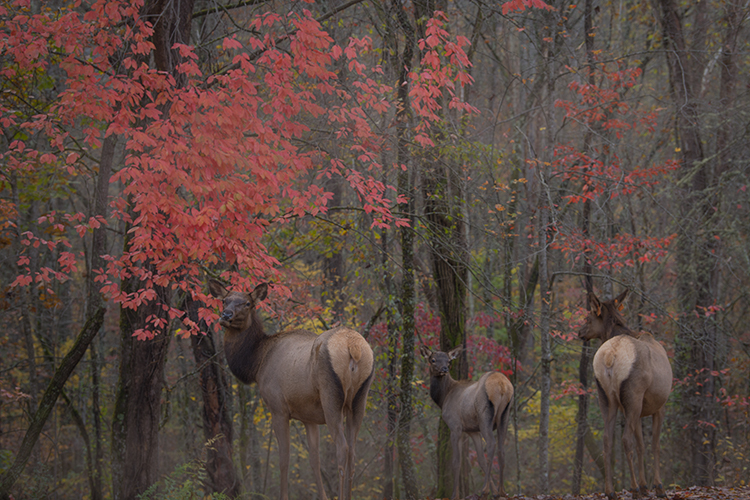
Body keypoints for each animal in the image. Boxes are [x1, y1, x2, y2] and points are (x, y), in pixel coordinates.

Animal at [209, 282, 376, 500]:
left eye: (247, 303)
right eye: (224, 300)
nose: (225, 315)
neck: (256, 363)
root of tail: (353, 346)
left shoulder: (278, 408)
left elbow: (284, 459)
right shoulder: (308, 417)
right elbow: (314, 461)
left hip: (331, 398)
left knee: (342, 448)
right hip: (359, 400)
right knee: (353, 452)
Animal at [420, 346, 516, 498]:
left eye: (448, 360)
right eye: (433, 359)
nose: (444, 369)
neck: (443, 398)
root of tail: (502, 385)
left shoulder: (455, 426)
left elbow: (456, 462)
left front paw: (455, 495)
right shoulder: (472, 430)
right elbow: (481, 460)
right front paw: (494, 491)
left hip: (484, 416)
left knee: (491, 444)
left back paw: (484, 490)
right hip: (505, 415)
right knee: (501, 449)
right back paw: (501, 491)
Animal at [580, 292, 676, 498]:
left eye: (587, 318)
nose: (579, 332)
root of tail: (610, 356)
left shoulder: (637, 411)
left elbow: (641, 445)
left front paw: (646, 485)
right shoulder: (660, 406)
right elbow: (654, 444)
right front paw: (657, 486)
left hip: (606, 397)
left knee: (607, 439)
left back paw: (610, 491)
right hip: (633, 395)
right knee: (625, 440)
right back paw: (634, 488)